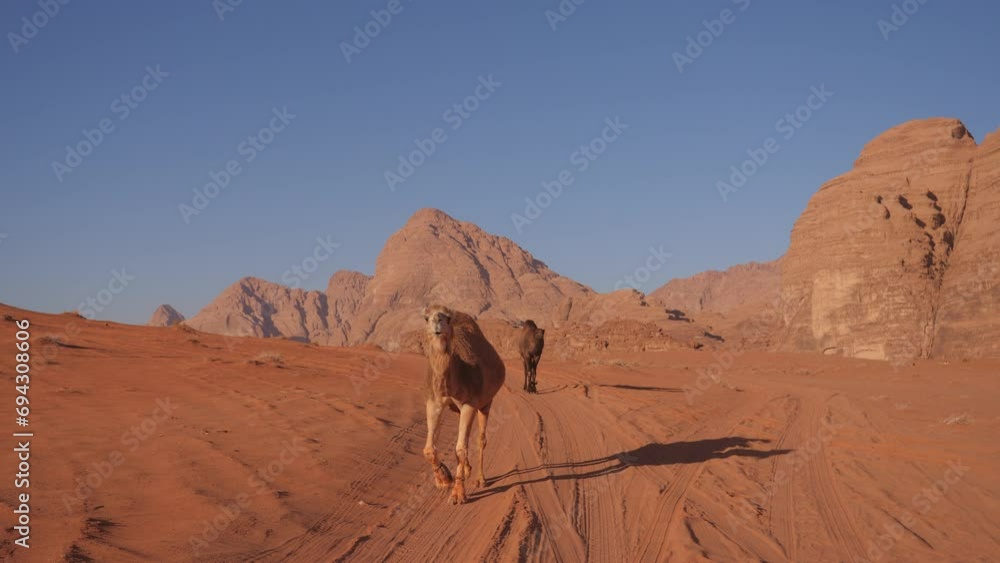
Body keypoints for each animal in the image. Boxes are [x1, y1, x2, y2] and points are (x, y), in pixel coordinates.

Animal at [421, 304, 506, 505]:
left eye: (447, 317)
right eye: (426, 318)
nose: (437, 323)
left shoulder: (470, 404)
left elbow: (461, 449)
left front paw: (458, 493)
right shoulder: (433, 402)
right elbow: (429, 449)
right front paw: (444, 479)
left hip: (486, 403)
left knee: (480, 440)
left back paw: (480, 479)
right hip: (460, 409)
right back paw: (467, 470)